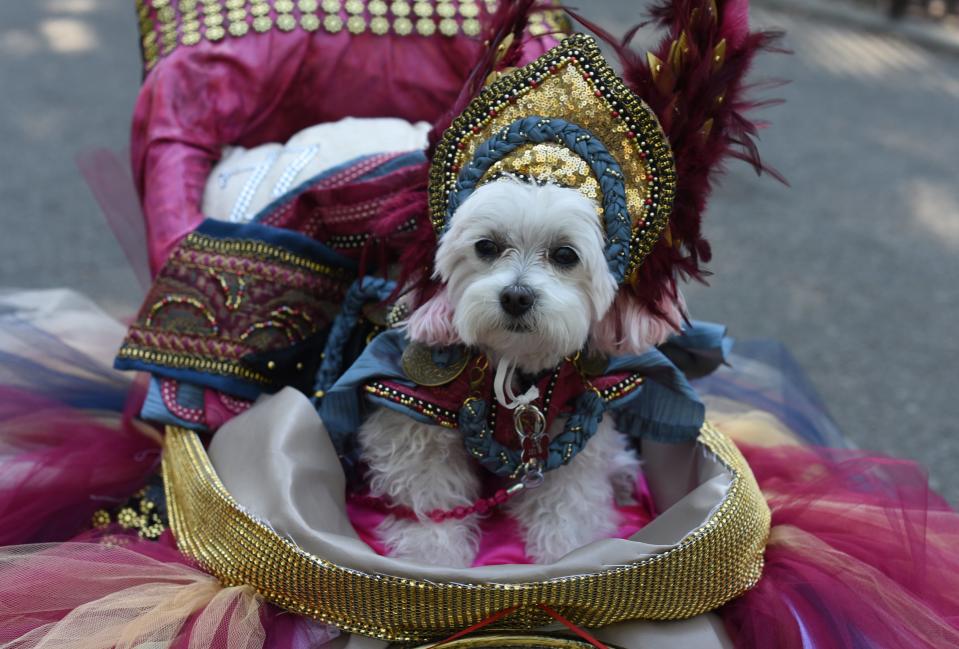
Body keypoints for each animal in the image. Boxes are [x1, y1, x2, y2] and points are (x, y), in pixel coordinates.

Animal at [358, 178, 684, 568]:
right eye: (486, 246)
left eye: (565, 254)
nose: (515, 297)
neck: (514, 362)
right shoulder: (417, 420)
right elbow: (429, 502)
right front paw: (432, 560)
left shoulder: (568, 427)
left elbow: (568, 505)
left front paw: (568, 555)